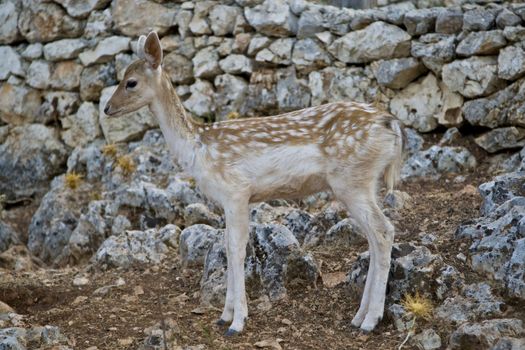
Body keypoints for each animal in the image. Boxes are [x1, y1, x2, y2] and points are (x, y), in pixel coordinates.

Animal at [103, 32, 406, 336]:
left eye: (131, 82)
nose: (106, 108)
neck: (198, 149)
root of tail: (390, 124)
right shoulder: (228, 200)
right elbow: (226, 246)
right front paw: (224, 315)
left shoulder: (236, 191)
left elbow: (237, 249)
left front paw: (237, 322)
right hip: (363, 182)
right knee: (374, 236)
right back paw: (359, 316)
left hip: (351, 180)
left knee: (383, 231)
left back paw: (370, 320)